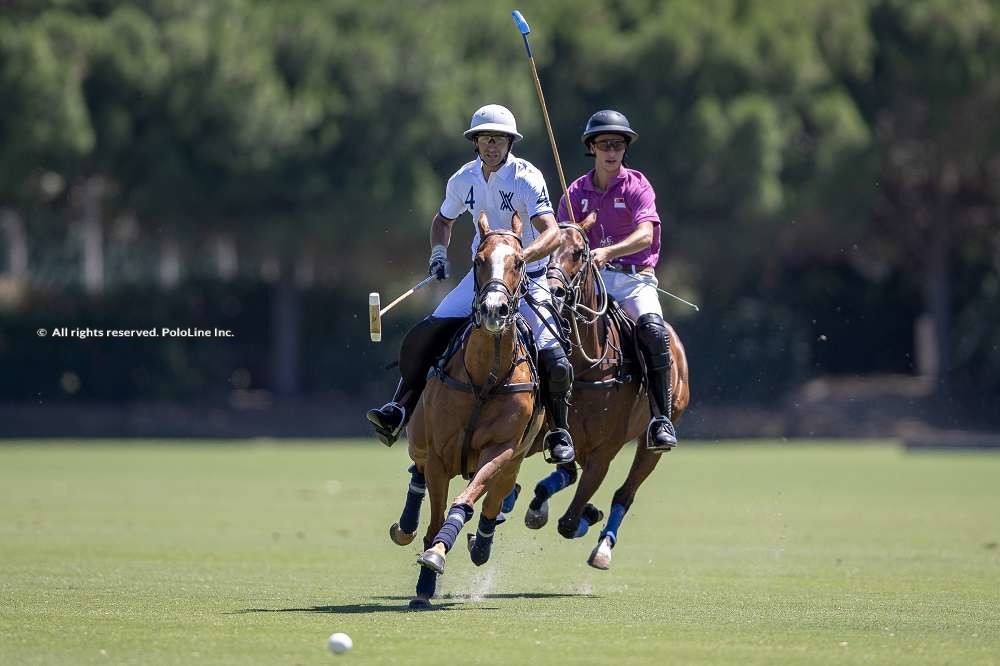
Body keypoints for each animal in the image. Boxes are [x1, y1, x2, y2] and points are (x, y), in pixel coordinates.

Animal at [392, 210, 544, 604]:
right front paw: (425, 583)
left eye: (519, 261)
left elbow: (467, 501)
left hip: (515, 459)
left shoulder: (501, 450)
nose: (493, 310)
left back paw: (482, 543)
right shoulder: (439, 454)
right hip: (419, 438)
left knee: (497, 498)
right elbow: (434, 519)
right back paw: (404, 526)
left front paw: (439, 554)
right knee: (417, 470)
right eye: (478, 260)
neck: (484, 378)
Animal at [516, 213, 688, 564]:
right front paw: (547, 507)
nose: (553, 292)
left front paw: (588, 514)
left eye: (579, 252)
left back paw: (603, 545)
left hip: (653, 439)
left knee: (626, 491)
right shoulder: (550, 433)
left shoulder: (604, 453)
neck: (587, 366)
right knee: (568, 473)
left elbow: (568, 523)